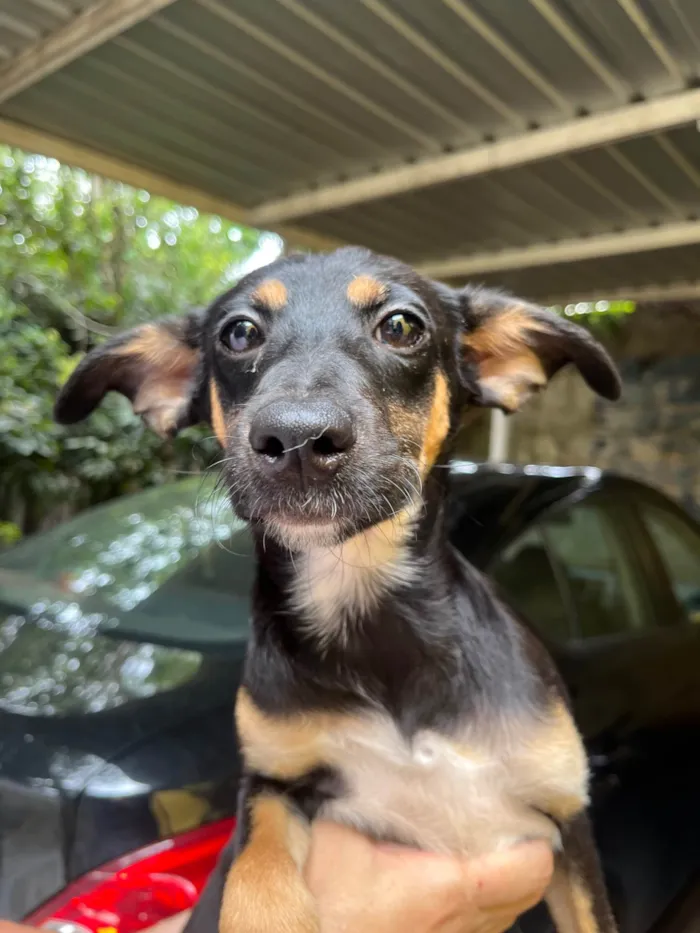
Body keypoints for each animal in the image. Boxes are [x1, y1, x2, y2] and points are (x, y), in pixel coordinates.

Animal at [57, 244, 620, 928]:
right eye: (238, 333)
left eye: (401, 326)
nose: (296, 439)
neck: (360, 596)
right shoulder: (271, 782)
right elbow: (254, 877)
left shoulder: (565, 816)